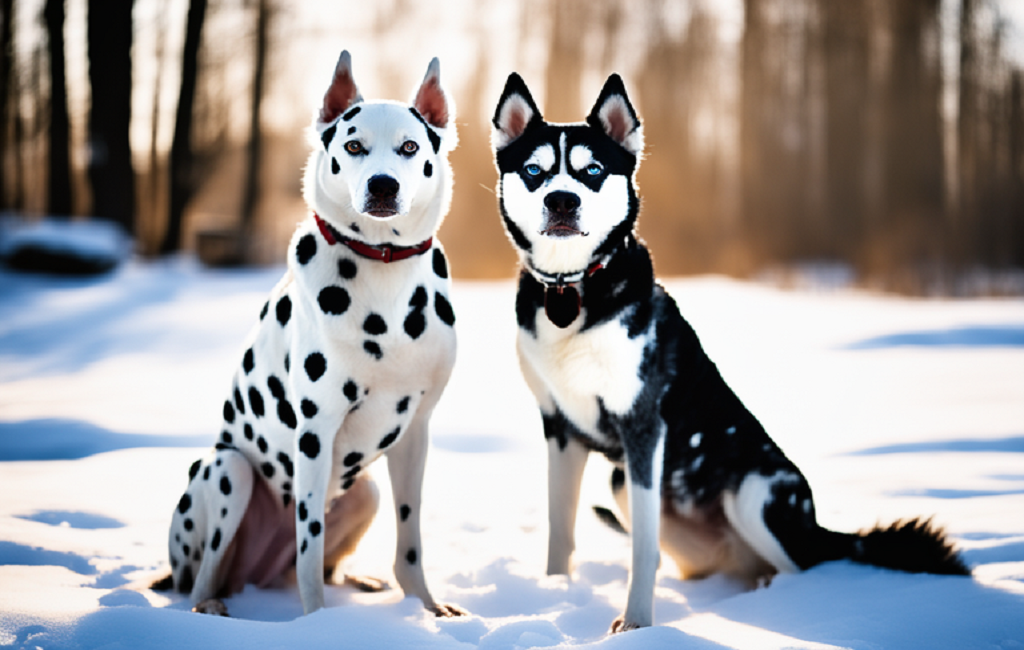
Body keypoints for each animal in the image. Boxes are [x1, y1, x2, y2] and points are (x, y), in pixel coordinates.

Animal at [161, 50, 466, 622]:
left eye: (410, 147)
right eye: (354, 145)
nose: (383, 185)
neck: (382, 270)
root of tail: (255, 574)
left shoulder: (416, 431)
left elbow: (410, 538)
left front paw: (426, 608)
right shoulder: (315, 431)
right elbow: (309, 542)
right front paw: (316, 625)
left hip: (365, 490)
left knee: (333, 553)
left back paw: (359, 580)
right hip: (227, 471)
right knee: (203, 576)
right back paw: (210, 604)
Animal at [487, 72, 966, 634]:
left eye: (593, 171)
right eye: (534, 171)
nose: (562, 201)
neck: (573, 288)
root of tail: (817, 529)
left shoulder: (643, 427)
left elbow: (642, 547)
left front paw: (637, 624)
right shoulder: (560, 429)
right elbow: (560, 531)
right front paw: (555, 593)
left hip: (755, 494)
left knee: (806, 570)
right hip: (624, 483)